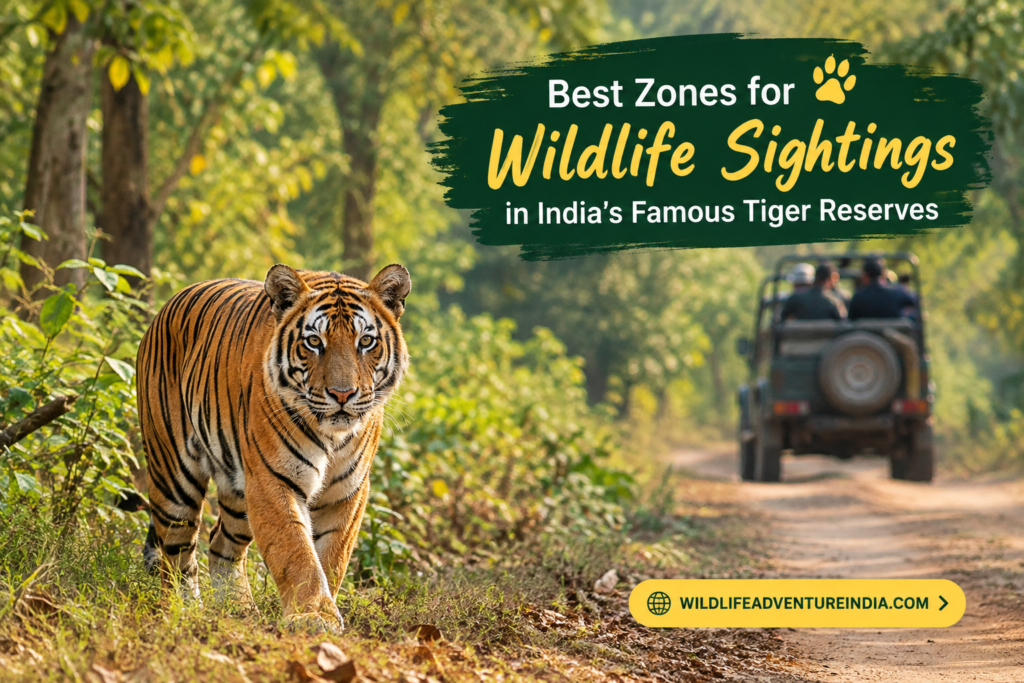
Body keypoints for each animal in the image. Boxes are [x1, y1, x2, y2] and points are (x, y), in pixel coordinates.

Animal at [136, 263, 410, 632]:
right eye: (314, 342)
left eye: (366, 341)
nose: (342, 395)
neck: (333, 437)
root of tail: (168, 304)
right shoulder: (273, 480)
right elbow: (295, 550)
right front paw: (313, 615)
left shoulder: (347, 491)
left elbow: (332, 556)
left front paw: (324, 609)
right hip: (174, 479)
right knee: (176, 554)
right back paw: (184, 611)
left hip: (238, 490)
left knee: (221, 544)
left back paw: (239, 609)